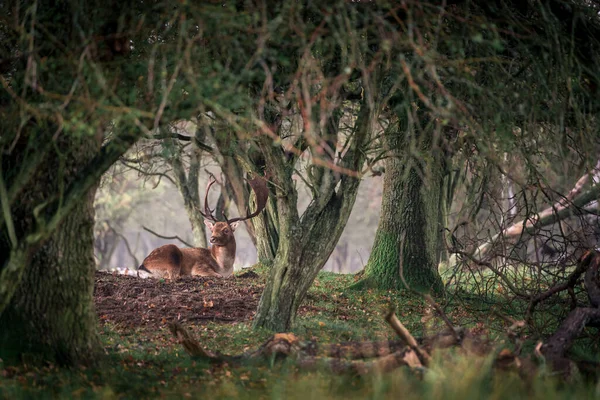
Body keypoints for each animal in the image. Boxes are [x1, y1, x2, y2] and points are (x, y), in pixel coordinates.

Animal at [138, 173, 270, 280]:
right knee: (172, 275)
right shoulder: (199, 266)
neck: (224, 267)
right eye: (213, 229)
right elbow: (218, 275)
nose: (212, 238)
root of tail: (142, 267)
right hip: (171, 256)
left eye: (226, 230)